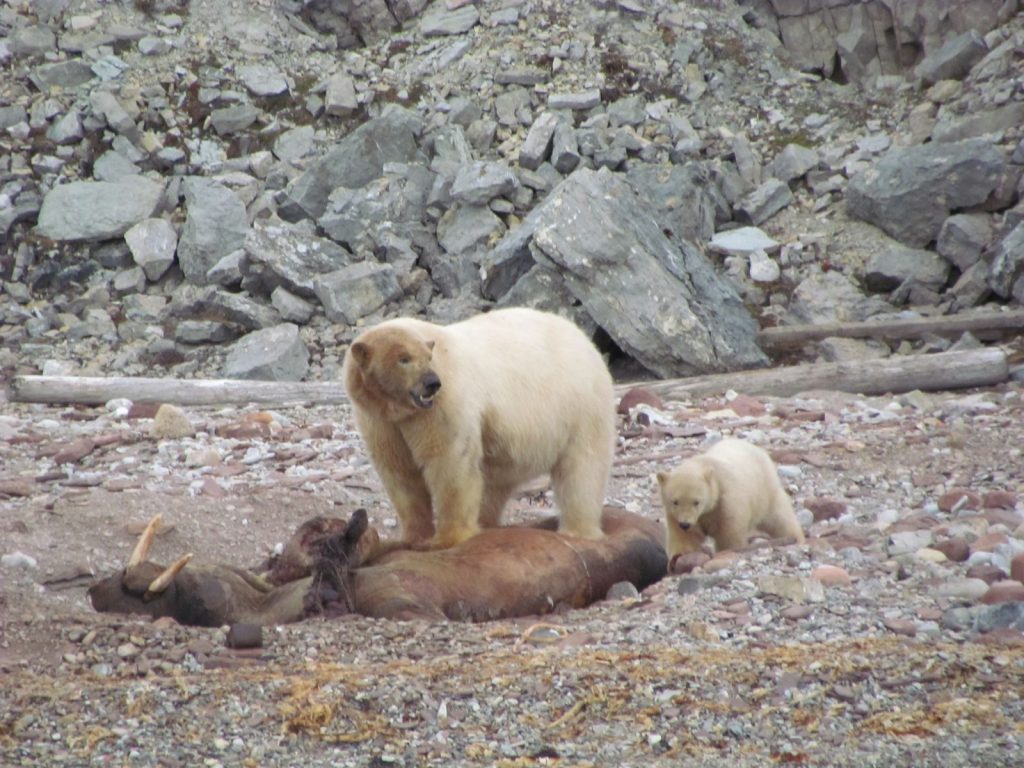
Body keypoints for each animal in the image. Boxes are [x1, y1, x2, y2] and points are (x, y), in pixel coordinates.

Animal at [344, 305, 614, 548]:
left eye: (428, 357)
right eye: (404, 359)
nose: (431, 383)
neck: (400, 409)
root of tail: (585, 340)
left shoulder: (444, 405)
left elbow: (449, 462)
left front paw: (448, 537)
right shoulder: (380, 421)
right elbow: (399, 471)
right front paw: (413, 536)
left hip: (580, 408)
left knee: (582, 472)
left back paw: (578, 531)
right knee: (494, 482)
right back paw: (487, 523)